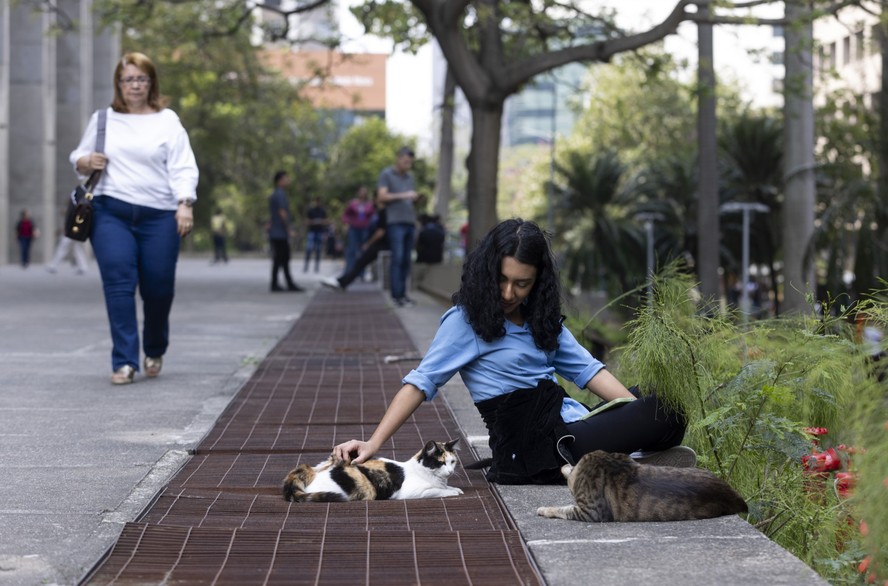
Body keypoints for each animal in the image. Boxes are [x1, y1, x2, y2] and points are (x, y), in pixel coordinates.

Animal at [282, 436, 464, 500]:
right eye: (440, 463)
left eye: (452, 462)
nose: (450, 472)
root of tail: (311, 471)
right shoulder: (413, 492)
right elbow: (438, 491)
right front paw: (451, 492)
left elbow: (447, 487)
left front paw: (455, 488)